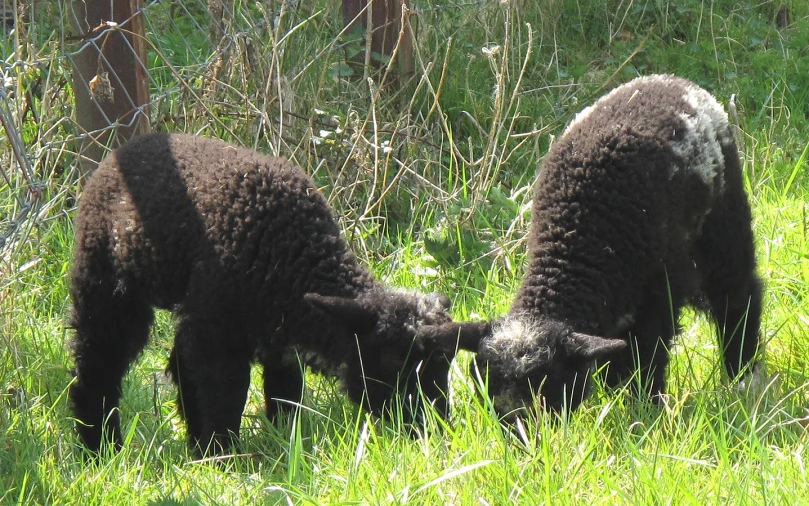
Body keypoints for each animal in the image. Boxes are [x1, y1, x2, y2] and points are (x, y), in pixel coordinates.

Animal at [71, 131, 480, 454]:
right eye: (395, 362)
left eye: (445, 366)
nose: (434, 432)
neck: (293, 255)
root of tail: (123, 149)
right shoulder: (218, 328)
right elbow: (225, 392)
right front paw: (222, 458)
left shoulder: (275, 333)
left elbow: (285, 392)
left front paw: (284, 440)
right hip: (105, 281)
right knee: (98, 363)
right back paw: (99, 447)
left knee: (175, 361)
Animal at [430, 74, 764, 416]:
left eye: (548, 389)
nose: (523, 434)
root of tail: (670, 80)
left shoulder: (660, 293)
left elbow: (649, 354)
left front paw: (647, 406)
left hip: (723, 221)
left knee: (737, 294)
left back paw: (742, 373)